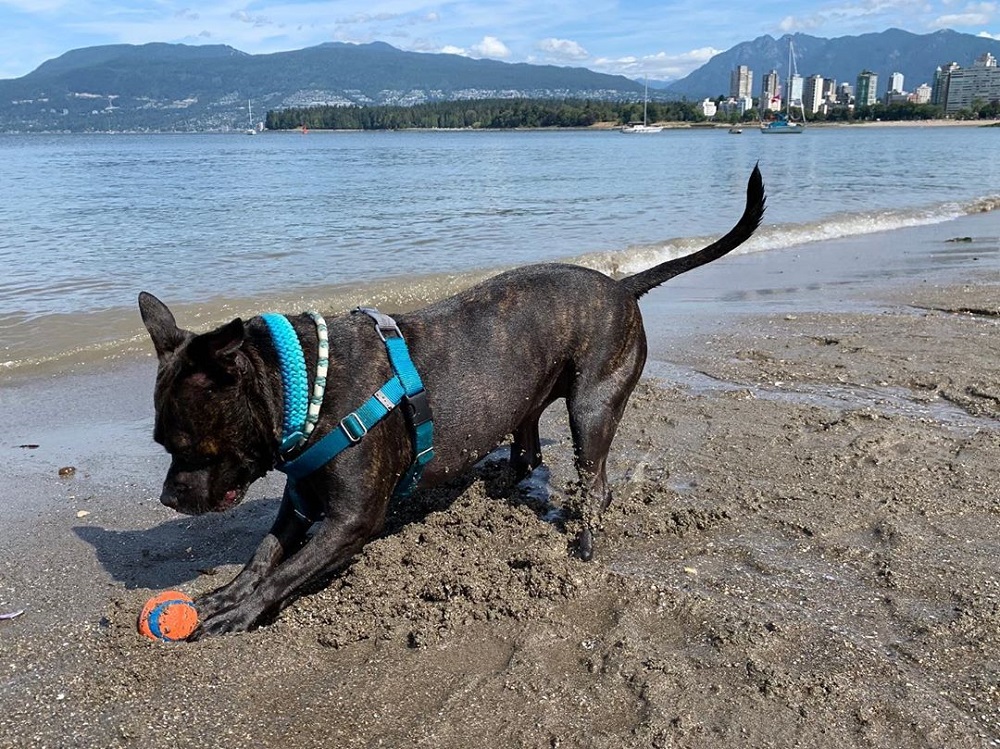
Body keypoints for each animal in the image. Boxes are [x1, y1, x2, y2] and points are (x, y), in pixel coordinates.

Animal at [139, 165, 764, 636]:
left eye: (188, 446)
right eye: (161, 443)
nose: (167, 499)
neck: (301, 386)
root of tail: (621, 285)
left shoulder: (350, 521)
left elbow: (283, 573)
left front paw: (242, 613)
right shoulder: (300, 499)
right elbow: (263, 555)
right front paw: (226, 596)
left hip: (592, 407)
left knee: (596, 483)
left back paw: (585, 540)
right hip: (529, 399)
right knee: (531, 451)